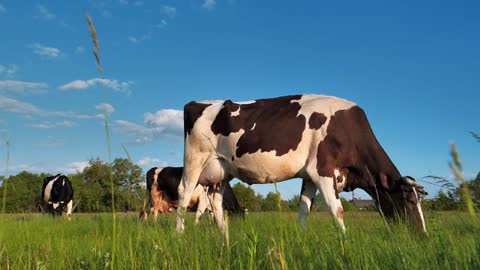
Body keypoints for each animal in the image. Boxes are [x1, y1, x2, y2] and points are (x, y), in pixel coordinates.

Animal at [176, 95, 428, 234]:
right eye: (409, 200)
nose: (423, 236)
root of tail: (196, 103)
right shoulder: (323, 171)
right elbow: (337, 211)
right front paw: (345, 244)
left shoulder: (309, 176)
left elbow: (304, 210)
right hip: (194, 161)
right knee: (183, 195)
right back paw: (180, 236)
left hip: (221, 173)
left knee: (216, 204)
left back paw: (224, 239)